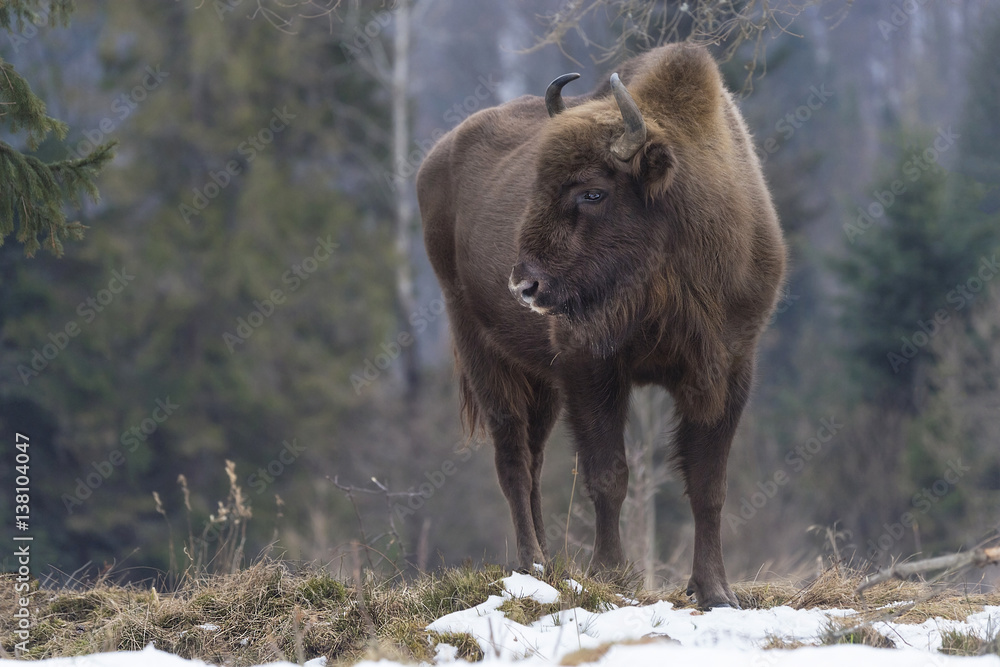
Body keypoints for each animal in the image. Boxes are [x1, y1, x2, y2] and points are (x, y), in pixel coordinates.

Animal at [416, 44, 786, 609]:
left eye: (593, 193)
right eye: (537, 185)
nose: (524, 285)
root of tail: (433, 161)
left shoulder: (726, 370)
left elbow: (708, 485)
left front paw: (716, 591)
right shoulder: (591, 369)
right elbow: (609, 474)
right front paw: (611, 573)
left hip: (540, 381)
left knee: (533, 461)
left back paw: (547, 566)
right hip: (482, 352)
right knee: (512, 460)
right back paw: (531, 564)